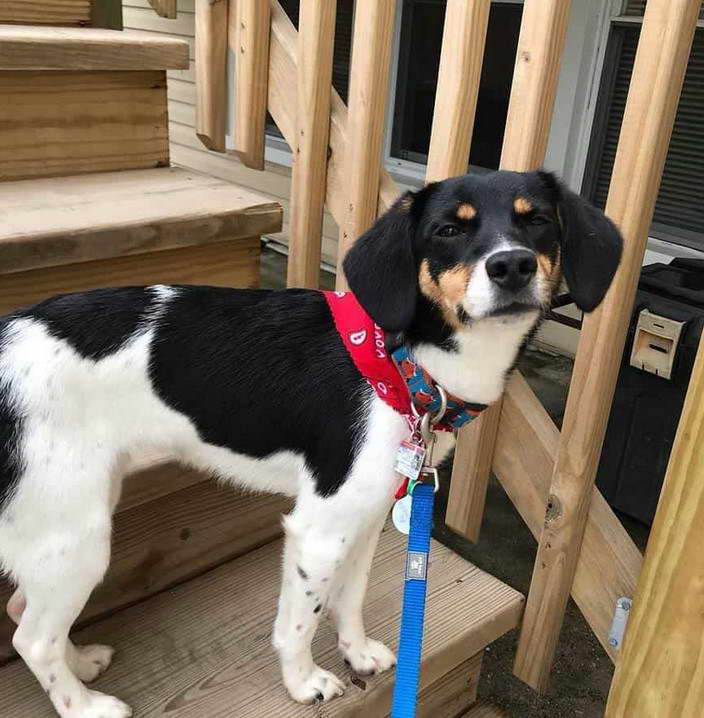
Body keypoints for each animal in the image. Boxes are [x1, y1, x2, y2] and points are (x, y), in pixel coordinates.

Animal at [0, 172, 620, 716]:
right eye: (448, 230)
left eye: (536, 221)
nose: (511, 265)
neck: (402, 360)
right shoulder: (319, 530)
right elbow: (300, 621)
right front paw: (303, 683)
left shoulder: (366, 518)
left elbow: (349, 598)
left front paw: (357, 653)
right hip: (76, 535)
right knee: (32, 637)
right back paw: (85, 705)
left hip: (70, 515)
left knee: (25, 608)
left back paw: (81, 664)